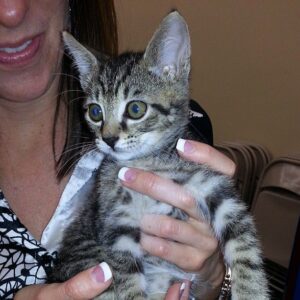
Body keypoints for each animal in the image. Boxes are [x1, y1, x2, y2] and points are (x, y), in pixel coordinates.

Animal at [50, 10, 268, 298]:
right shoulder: (116, 221)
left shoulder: (213, 187)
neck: (147, 163)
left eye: (135, 109)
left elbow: (244, 244)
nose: (108, 139)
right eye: (95, 112)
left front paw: (251, 290)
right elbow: (127, 279)